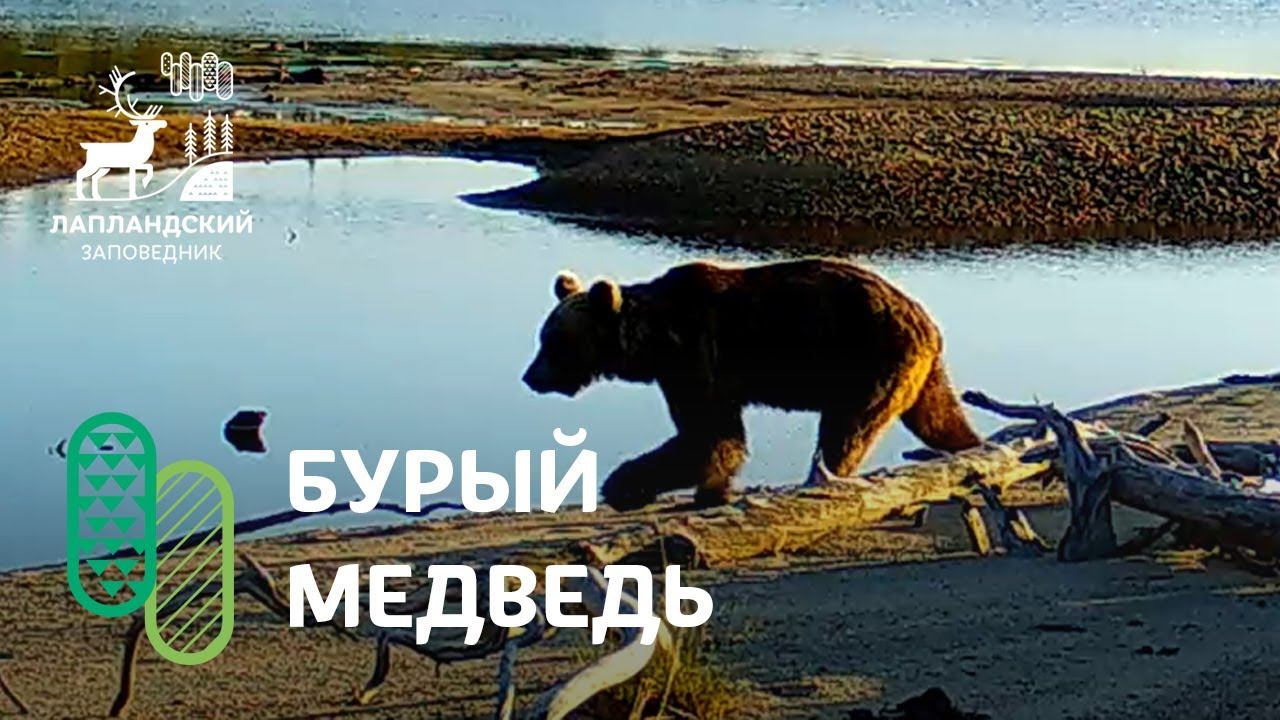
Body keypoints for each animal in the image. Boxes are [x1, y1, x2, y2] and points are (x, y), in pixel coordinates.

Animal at [522, 257, 982, 511]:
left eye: (553, 341)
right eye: (542, 337)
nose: (530, 377)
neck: (651, 343)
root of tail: (927, 323)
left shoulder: (695, 357)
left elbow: (708, 436)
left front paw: (622, 485)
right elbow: (719, 436)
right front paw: (711, 493)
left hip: (869, 360)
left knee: (846, 431)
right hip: (919, 374)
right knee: (939, 419)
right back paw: (974, 451)